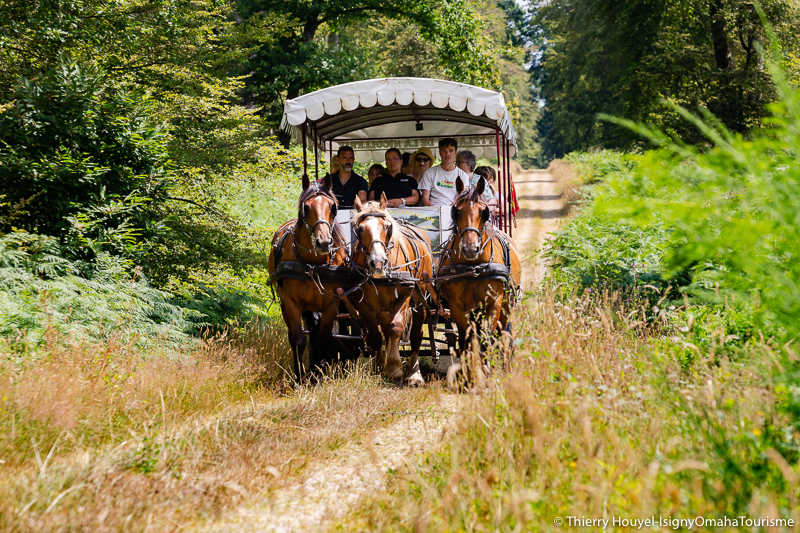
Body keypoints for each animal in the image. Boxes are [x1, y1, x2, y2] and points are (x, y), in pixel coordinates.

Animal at [267, 173, 349, 382]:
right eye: (306, 207)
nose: (323, 242)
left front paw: (319, 373)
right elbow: (298, 339)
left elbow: (322, 338)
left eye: (332, 206)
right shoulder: (291, 302)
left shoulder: (332, 304)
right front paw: (301, 377)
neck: (314, 264)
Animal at [343, 193, 435, 387]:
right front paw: (379, 368)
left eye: (386, 227)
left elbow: (395, 328)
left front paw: (394, 368)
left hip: (420, 299)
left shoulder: (404, 296)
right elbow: (376, 337)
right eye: (360, 229)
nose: (378, 263)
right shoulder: (364, 304)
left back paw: (414, 374)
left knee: (416, 334)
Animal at [436, 176, 522, 372]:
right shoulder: (457, 307)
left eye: (484, 212)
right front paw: (470, 374)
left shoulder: (494, 302)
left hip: (506, 305)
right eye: (456, 211)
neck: (473, 267)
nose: (470, 249)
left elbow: (487, 339)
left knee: (503, 334)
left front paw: (487, 370)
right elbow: (465, 342)